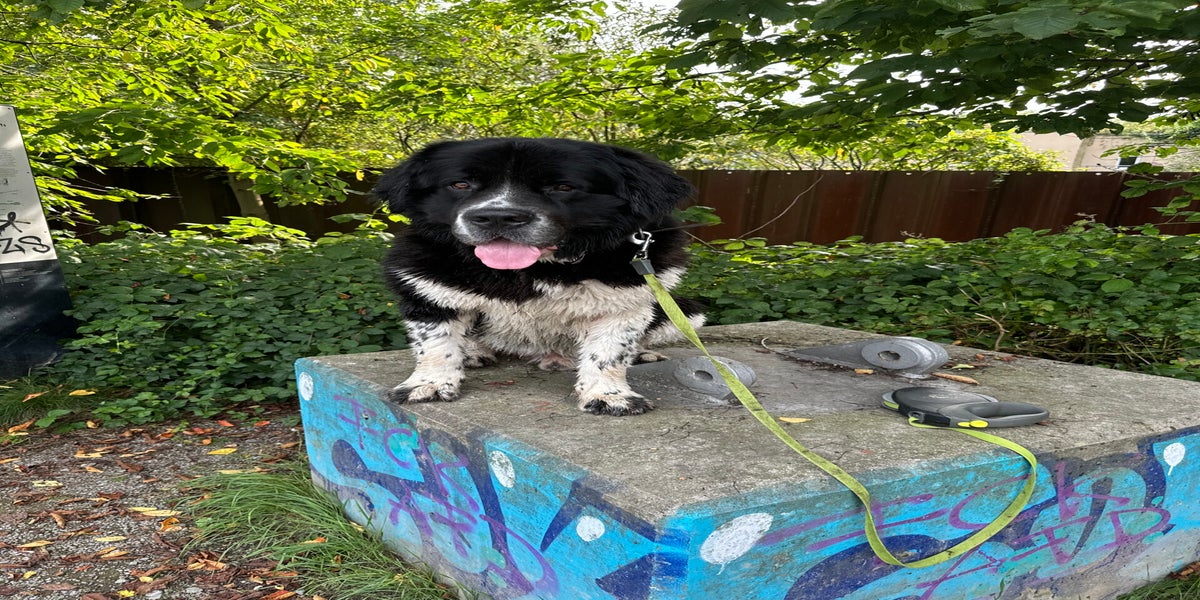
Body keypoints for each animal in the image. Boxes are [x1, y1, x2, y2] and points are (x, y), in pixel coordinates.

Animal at [373, 137, 705, 416]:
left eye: (562, 187)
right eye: (460, 184)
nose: (498, 217)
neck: (533, 270)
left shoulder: (625, 303)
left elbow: (608, 353)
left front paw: (608, 395)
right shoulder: (428, 289)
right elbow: (435, 345)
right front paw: (427, 384)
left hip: (688, 312)